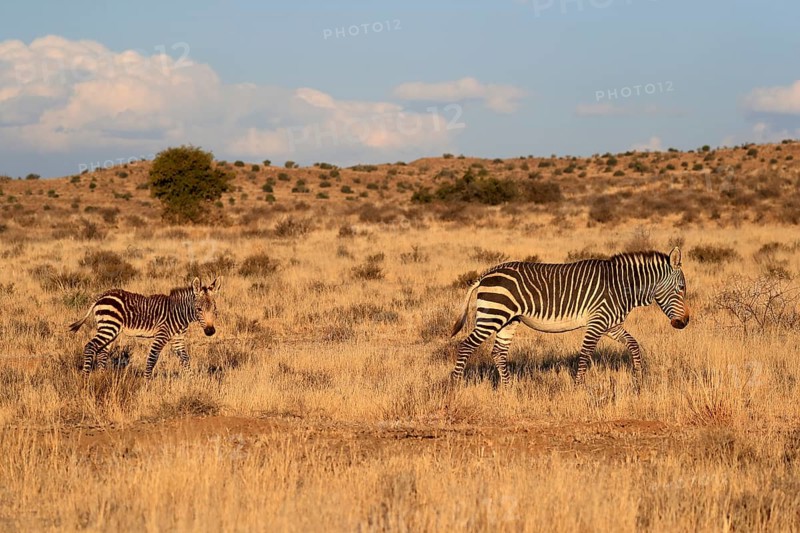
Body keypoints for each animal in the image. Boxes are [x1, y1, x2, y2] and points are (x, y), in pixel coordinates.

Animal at [69, 277, 222, 378]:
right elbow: (152, 359)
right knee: (90, 346)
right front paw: (147, 383)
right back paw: (86, 379)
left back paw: (102, 378)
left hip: (110, 329)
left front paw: (192, 381)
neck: (179, 312)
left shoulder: (177, 339)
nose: (210, 331)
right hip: (109, 327)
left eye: (214, 309)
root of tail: (102, 295)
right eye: (199, 309)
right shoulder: (161, 335)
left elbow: (185, 359)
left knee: (101, 351)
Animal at [450, 248, 689, 386]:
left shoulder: (610, 324)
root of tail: (486, 274)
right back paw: (455, 385)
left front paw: (638, 379)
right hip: (493, 315)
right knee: (466, 345)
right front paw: (579, 386)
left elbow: (634, 345)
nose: (684, 322)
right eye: (681, 288)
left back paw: (509, 389)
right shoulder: (597, 322)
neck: (621, 286)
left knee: (499, 352)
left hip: (508, 320)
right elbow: (585, 354)